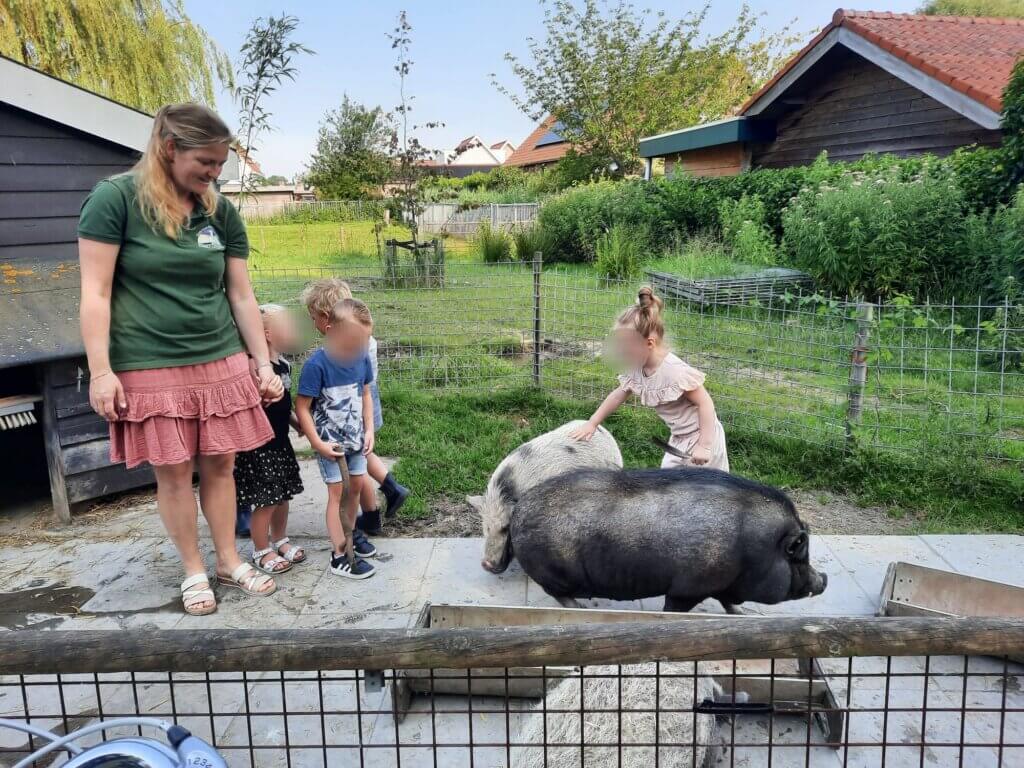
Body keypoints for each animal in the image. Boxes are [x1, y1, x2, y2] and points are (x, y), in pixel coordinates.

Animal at [507, 466, 827, 618]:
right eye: (799, 555)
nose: (823, 579)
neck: (753, 550)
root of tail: (518, 511)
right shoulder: (689, 587)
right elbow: (675, 609)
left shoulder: (720, 583)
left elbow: (727, 603)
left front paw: (742, 614)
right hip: (553, 570)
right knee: (558, 593)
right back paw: (584, 609)